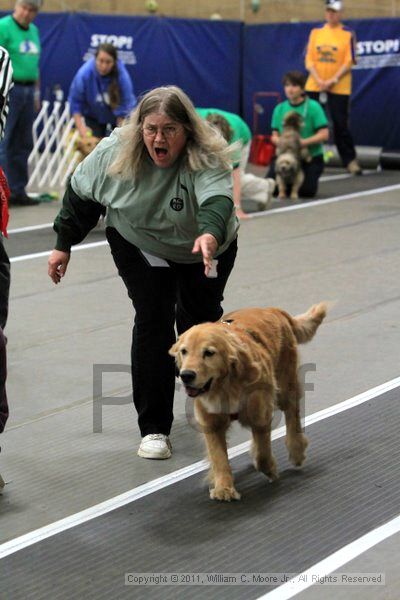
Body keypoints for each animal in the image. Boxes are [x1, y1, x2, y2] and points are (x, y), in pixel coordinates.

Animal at [170, 300, 328, 502]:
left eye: (209, 353)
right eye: (184, 351)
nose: (186, 375)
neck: (225, 385)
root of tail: (273, 310)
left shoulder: (260, 414)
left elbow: (263, 454)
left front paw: (270, 469)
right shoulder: (211, 423)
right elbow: (219, 457)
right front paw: (224, 487)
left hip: (285, 386)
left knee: (293, 413)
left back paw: (296, 449)